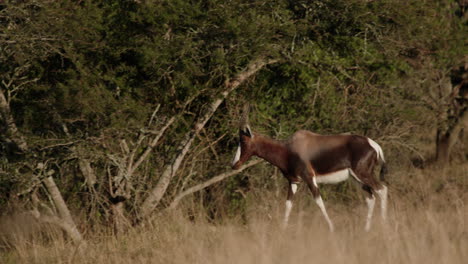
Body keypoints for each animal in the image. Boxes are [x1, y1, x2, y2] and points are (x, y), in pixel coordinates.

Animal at [230, 109, 388, 231]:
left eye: (243, 141)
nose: (234, 164)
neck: (288, 148)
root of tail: (374, 145)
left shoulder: (309, 178)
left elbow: (318, 201)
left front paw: (331, 228)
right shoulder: (294, 182)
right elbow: (288, 204)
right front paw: (283, 230)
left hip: (363, 174)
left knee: (382, 189)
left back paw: (385, 226)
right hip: (356, 178)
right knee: (371, 198)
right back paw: (366, 229)